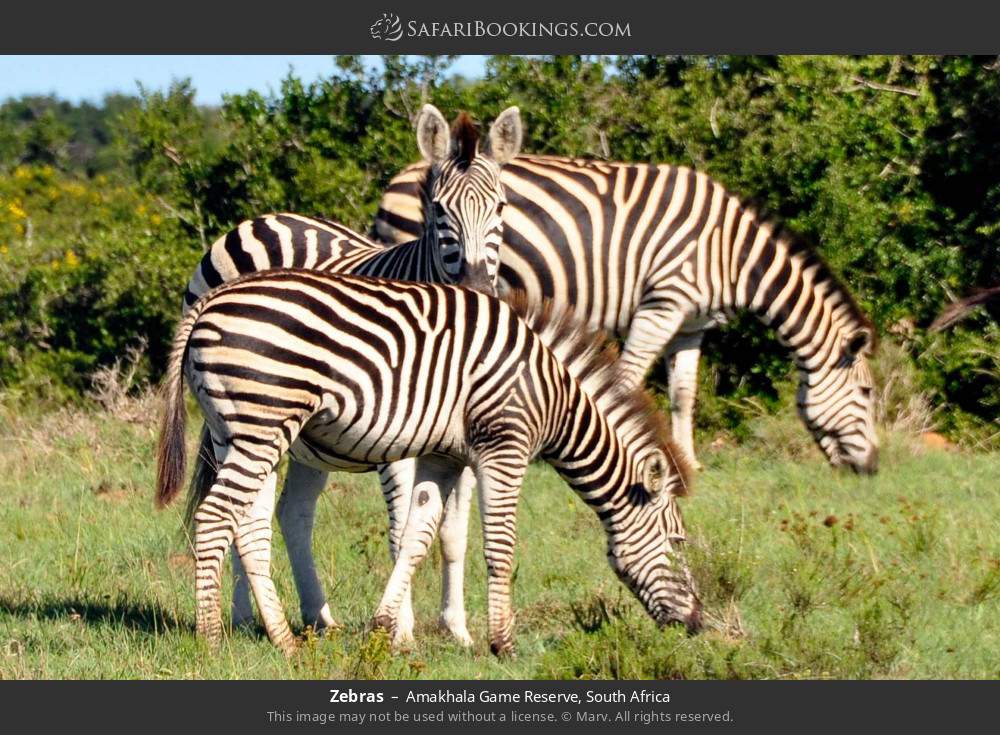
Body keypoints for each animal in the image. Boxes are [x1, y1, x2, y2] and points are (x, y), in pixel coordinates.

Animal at [155, 270, 701, 656]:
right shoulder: (504, 446)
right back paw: (211, 641)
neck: (552, 395)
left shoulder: (444, 457)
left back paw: (285, 644)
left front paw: (383, 629)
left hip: (237, 432)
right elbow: (499, 547)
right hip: (263, 421)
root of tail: (210, 301)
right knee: (214, 518)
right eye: (678, 542)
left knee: (248, 528)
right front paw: (502, 643)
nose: (697, 623)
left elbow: (418, 538)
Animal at [181, 104, 523, 641]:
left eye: (502, 207)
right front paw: (401, 633)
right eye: (438, 211)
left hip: (302, 428)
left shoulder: (466, 439)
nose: (476, 289)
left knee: (290, 512)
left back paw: (315, 616)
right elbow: (402, 528)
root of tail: (262, 219)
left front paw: (457, 629)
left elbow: (452, 533)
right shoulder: (398, 438)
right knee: (240, 510)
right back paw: (240, 617)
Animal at [374, 155, 879, 474]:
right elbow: (630, 379)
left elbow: (683, 394)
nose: (873, 469)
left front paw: (690, 460)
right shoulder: (664, 302)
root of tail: (401, 176)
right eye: (868, 393)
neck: (731, 251)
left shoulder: (691, 326)